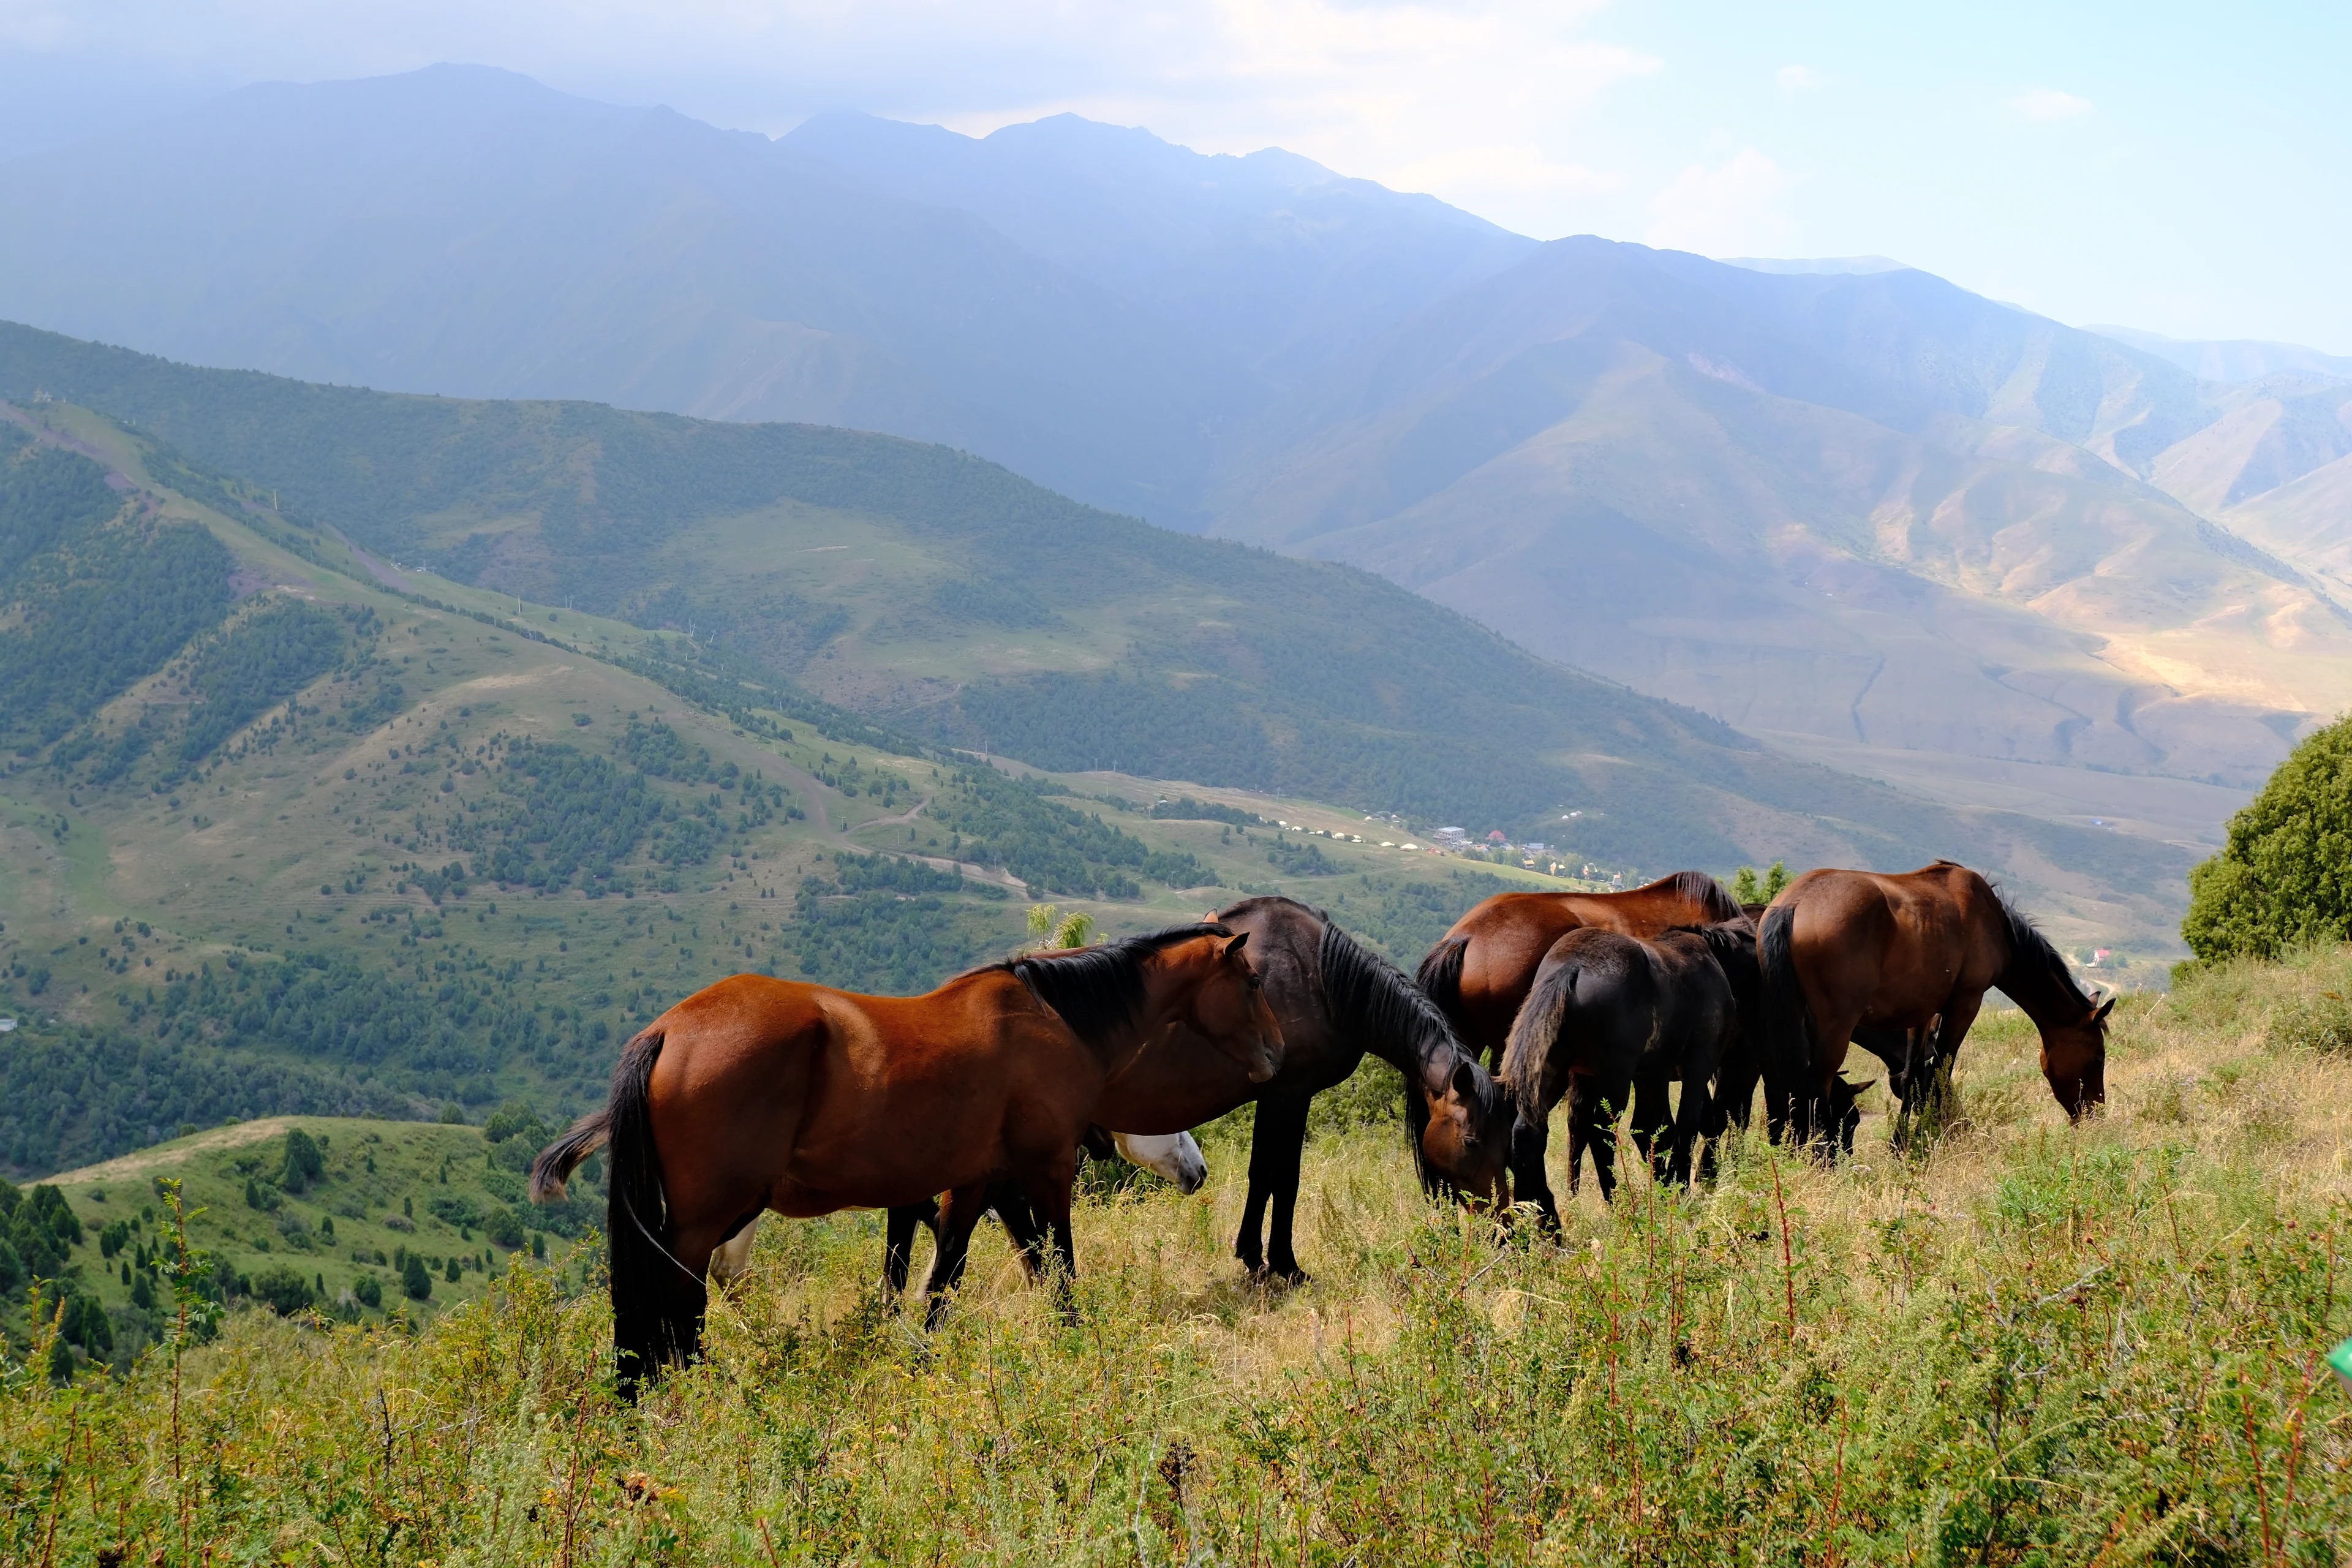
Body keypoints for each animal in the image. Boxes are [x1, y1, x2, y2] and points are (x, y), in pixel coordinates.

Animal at [530, 924, 1282, 1390]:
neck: (1054, 1020)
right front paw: (1074, 1339)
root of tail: (668, 1031)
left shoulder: (974, 1182)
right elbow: (1058, 1262)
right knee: (681, 1305)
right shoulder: (1044, 1169)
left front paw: (919, 1352)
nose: (1276, 1053)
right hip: (707, 1218)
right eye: (1251, 983)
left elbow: (944, 1275)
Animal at [1086, 895, 1509, 1283]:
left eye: (1505, 1144)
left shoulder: (1273, 1099)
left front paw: (1255, 1257)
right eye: (1471, 1142)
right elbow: (1281, 1178)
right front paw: (1282, 1265)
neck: (1318, 976)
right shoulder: (1288, 1096)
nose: (1505, 1228)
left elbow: (1264, 1175)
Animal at [1498, 922, 1752, 1221]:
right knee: (1600, 1134)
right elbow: (1690, 1124)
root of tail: (1572, 966)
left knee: (1529, 1132)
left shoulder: (1652, 1074)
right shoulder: (1698, 1065)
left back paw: (1538, 1215)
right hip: (1613, 1079)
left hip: (1558, 1073)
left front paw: (1664, 1186)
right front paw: (1679, 1187)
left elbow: (1655, 1129)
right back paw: (1619, 1203)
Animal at [1757, 862, 2112, 1147]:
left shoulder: (1923, 1013)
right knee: (1817, 1088)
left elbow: (1912, 1076)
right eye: (2098, 1058)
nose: (2095, 1116)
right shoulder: (1965, 1004)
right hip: (1835, 1027)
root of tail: (1793, 904)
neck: (1994, 921)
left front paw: (1901, 1145)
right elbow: (1941, 1073)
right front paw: (1930, 1139)